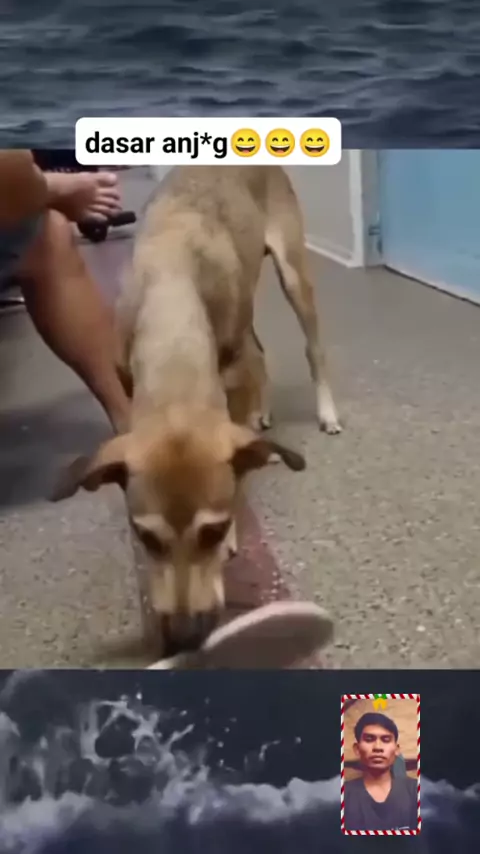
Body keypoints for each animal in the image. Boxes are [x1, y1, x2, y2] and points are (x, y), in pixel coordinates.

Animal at [52, 165, 341, 656]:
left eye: (213, 531)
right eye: (146, 537)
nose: (185, 637)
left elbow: (239, 479)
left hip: (293, 274)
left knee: (312, 348)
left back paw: (326, 413)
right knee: (260, 353)